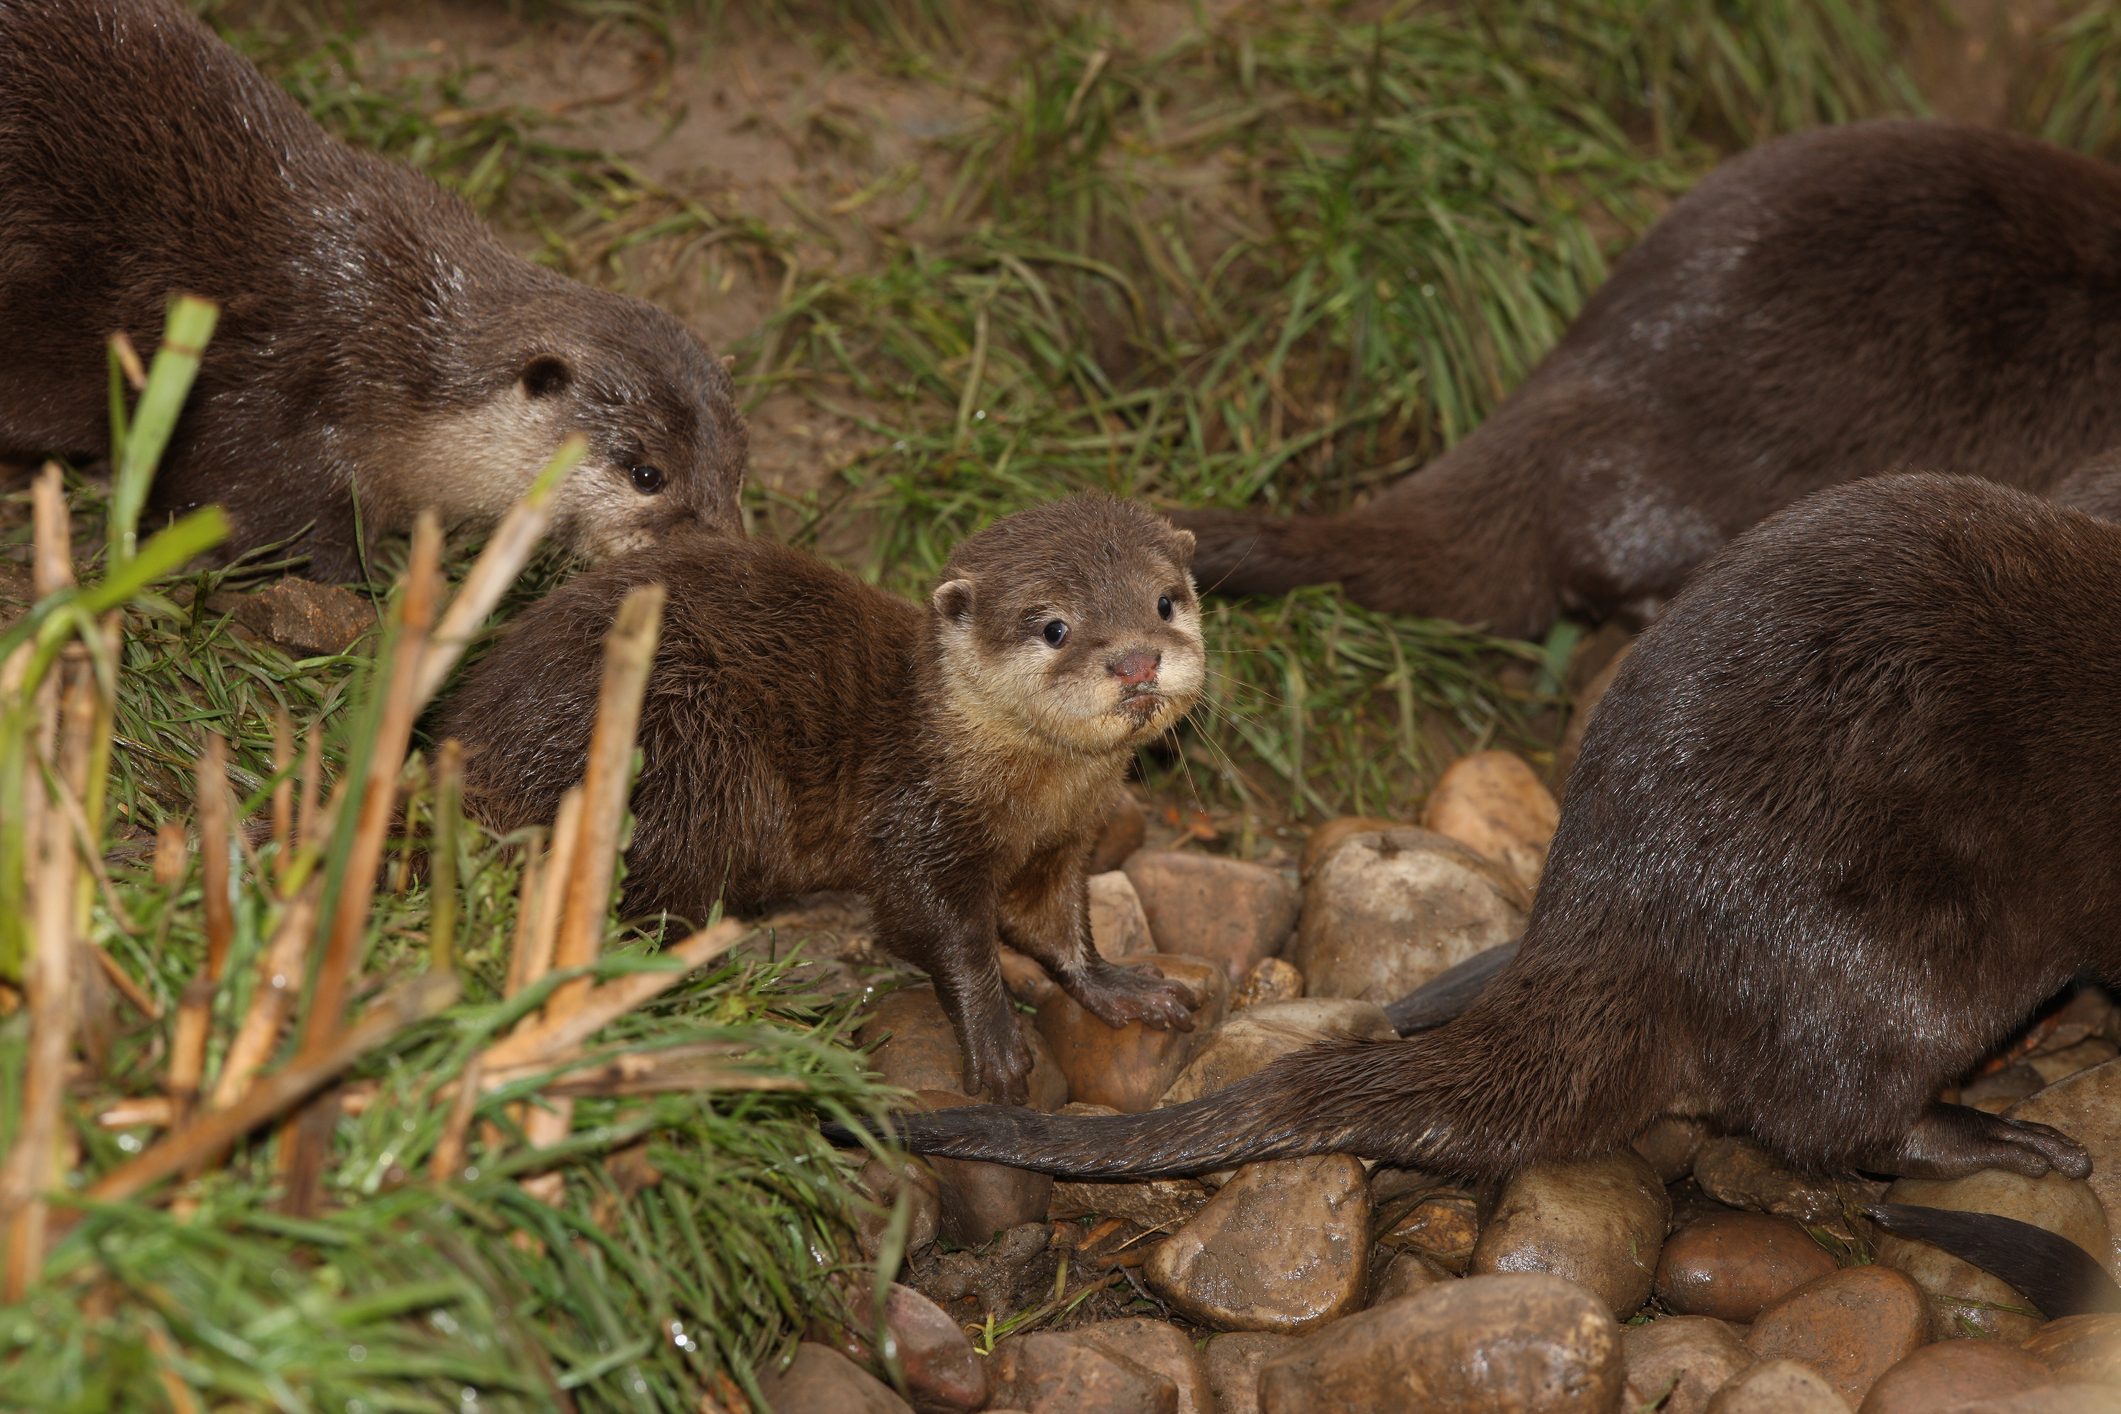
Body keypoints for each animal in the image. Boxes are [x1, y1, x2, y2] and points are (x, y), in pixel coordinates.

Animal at [443, 498, 1213, 1102]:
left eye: (1164, 601)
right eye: (1054, 627)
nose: (1135, 661)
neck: (1027, 796)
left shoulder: (1060, 844)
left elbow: (1053, 926)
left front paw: (1123, 987)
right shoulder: (916, 820)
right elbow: (936, 928)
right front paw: (993, 1035)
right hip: (683, 746)